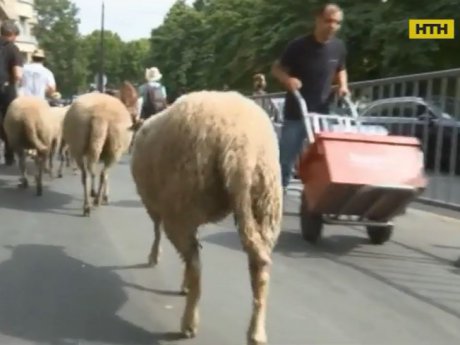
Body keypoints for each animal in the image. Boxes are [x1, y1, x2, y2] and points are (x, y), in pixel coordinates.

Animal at [63, 83, 141, 215]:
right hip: (115, 149)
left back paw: (88, 205)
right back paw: (97, 201)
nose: (138, 119)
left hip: (78, 145)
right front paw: (105, 196)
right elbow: (105, 175)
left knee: (86, 174)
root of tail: (100, 115)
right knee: (103, 173)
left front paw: (94, 192)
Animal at [128, 89, 280, 344]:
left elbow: (157, 232)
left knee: (195, 264)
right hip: (265, 205)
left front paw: (154, 257)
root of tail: (240, 146)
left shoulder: (155, 205)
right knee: (260, 267)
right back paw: (256, 332)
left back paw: (189, 322)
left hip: (181, 207)